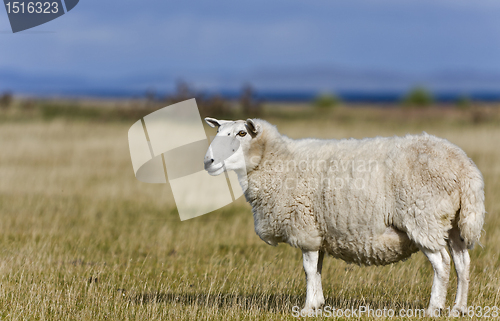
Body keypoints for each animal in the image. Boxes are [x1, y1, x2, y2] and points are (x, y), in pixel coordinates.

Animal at [202, 117, 484, 316]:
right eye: (218, 132)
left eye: (242, 133)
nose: (209, 161)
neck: (275, 162)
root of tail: (463, 166)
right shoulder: (318, 232)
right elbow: (316, 268)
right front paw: (318, 304)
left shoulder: (304, 227)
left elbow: (308, 269)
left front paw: (307, 308)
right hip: (453, 224)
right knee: (463, 263)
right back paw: (459, 308)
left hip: (424, 218)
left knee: (442, 264)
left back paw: (433, 309)